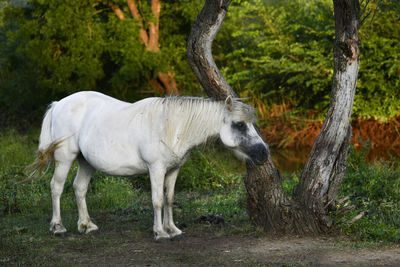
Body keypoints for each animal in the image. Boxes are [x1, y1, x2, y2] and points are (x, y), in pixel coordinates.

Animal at [32, 91, 268, 241]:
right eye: (239, 124)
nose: (264, 153)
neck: (171, 127)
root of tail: (59, 104)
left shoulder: (173, 170)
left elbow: (169, 199)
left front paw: (172, 229)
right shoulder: (156, 169)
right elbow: (157, 200)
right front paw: (160, 233)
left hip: (86, 161)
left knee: (79, 188)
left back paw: (87, 226)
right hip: (65, 158)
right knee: (56, 187)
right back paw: (58, 228)